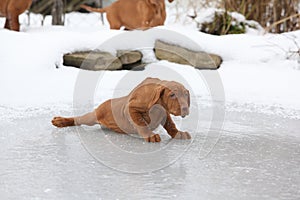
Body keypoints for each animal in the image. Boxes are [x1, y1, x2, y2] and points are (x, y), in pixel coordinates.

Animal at [51, 77, 191, 142]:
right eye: (172, 95)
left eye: (186, 94)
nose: (185, 108)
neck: (158, 105)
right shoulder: (130, 108)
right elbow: (141, 123)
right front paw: (150, 135)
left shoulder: (165, 113)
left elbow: (170, 125)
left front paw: (179, 134)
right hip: (93, 116)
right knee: (78, 119)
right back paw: (60, 121)